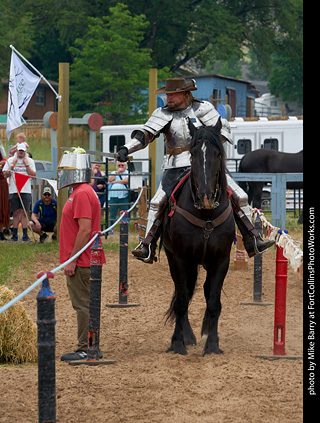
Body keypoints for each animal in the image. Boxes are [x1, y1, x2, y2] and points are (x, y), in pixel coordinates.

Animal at [162, 123, 235, 358]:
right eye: (193, 154)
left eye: (218, 154)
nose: (205, 197)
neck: (206, 215)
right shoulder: (180, 259)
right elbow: (181, 300)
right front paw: (178, 343)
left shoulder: (221, 261)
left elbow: (214, 302)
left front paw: (212, 344)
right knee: (183, 293)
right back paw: (188, 336)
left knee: (204, 290)